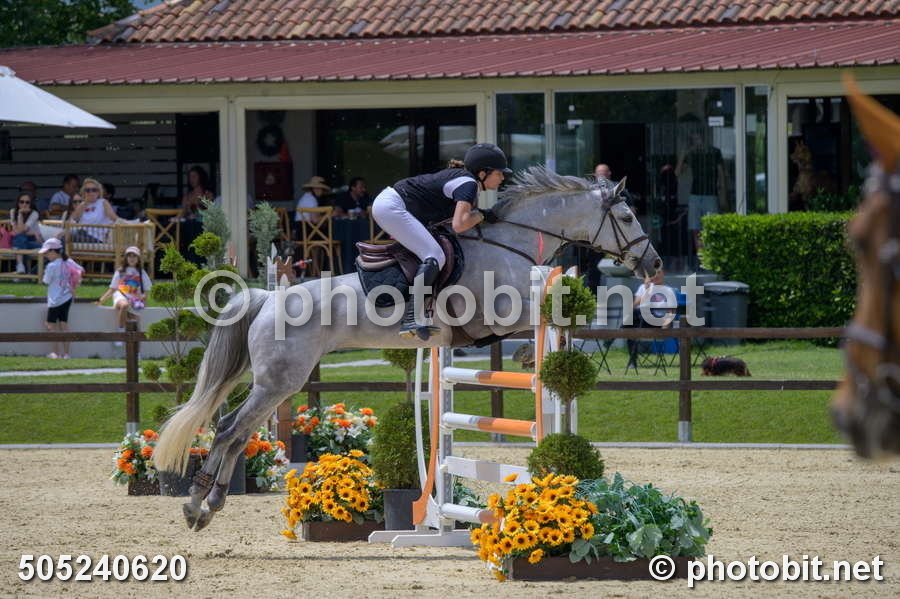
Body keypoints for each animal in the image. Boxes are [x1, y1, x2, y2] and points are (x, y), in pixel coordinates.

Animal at [153, 166, 662, 530]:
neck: (509, 243)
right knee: (227, 431)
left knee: (236, 433)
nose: (654, 264)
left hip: (278, 384)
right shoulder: (496, 314)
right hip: (279, 381)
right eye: (627, 217)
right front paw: (529, 356)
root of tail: (266, 299)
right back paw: (196, 505)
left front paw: (533, 356)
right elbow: (543, 315)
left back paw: (211, 503)